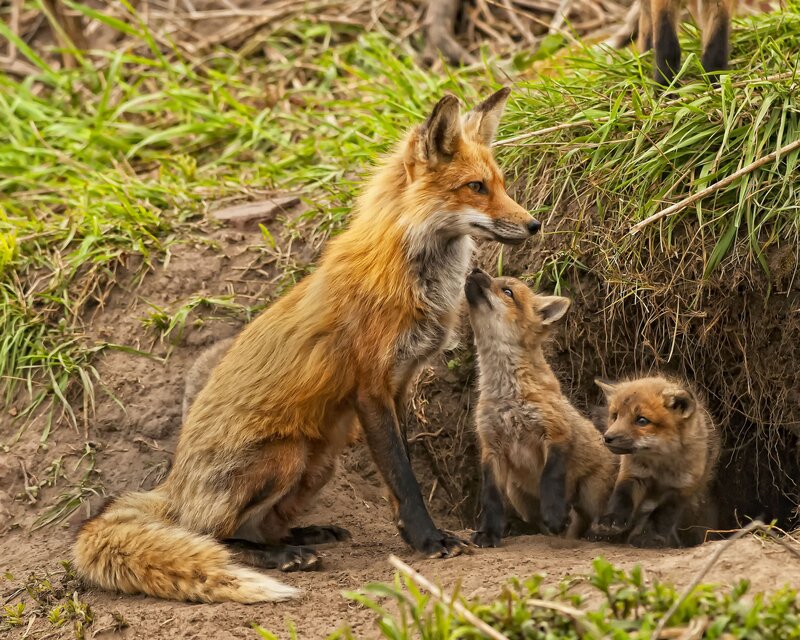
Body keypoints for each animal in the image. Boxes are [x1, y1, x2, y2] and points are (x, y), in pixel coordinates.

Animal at [73, 88, 541, 603]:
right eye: (476, 187)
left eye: (501, 184)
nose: (534, 224)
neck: (409, 272)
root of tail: (173, 487)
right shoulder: (369, 389)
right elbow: (405, 479)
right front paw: (428, 540)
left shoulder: (399, 385)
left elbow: (400, 477)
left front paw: (412, 536)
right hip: (286, 455)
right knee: (214, 535)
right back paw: (281, 556)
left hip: (319, 463)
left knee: (257, 526)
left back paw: (302, 536)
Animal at [465, 270, 617, 547]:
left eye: (508, 291)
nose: (475, 270)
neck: (507, 394)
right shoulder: (491, 447)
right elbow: (491, 498)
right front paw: (489, 532)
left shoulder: (555, 433)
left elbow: (550, 479)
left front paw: (555, 515)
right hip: (516, 491)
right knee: (537, 525)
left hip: (591, 491)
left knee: (588, 520)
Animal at [589, 376, 720, 547]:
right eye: (615, 416)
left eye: (642, 420)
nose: (607, 438)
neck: (660, 465)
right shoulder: (633, 474)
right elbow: (621, 498)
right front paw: (610, 520)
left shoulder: (683, 487)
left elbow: (662, 515)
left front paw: (650, 536)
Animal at [603, 0, 737, 86]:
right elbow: (667, 45)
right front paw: (666, 86)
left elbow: (716, 46)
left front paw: (715, 81)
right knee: (645, 25)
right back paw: (645, 61)